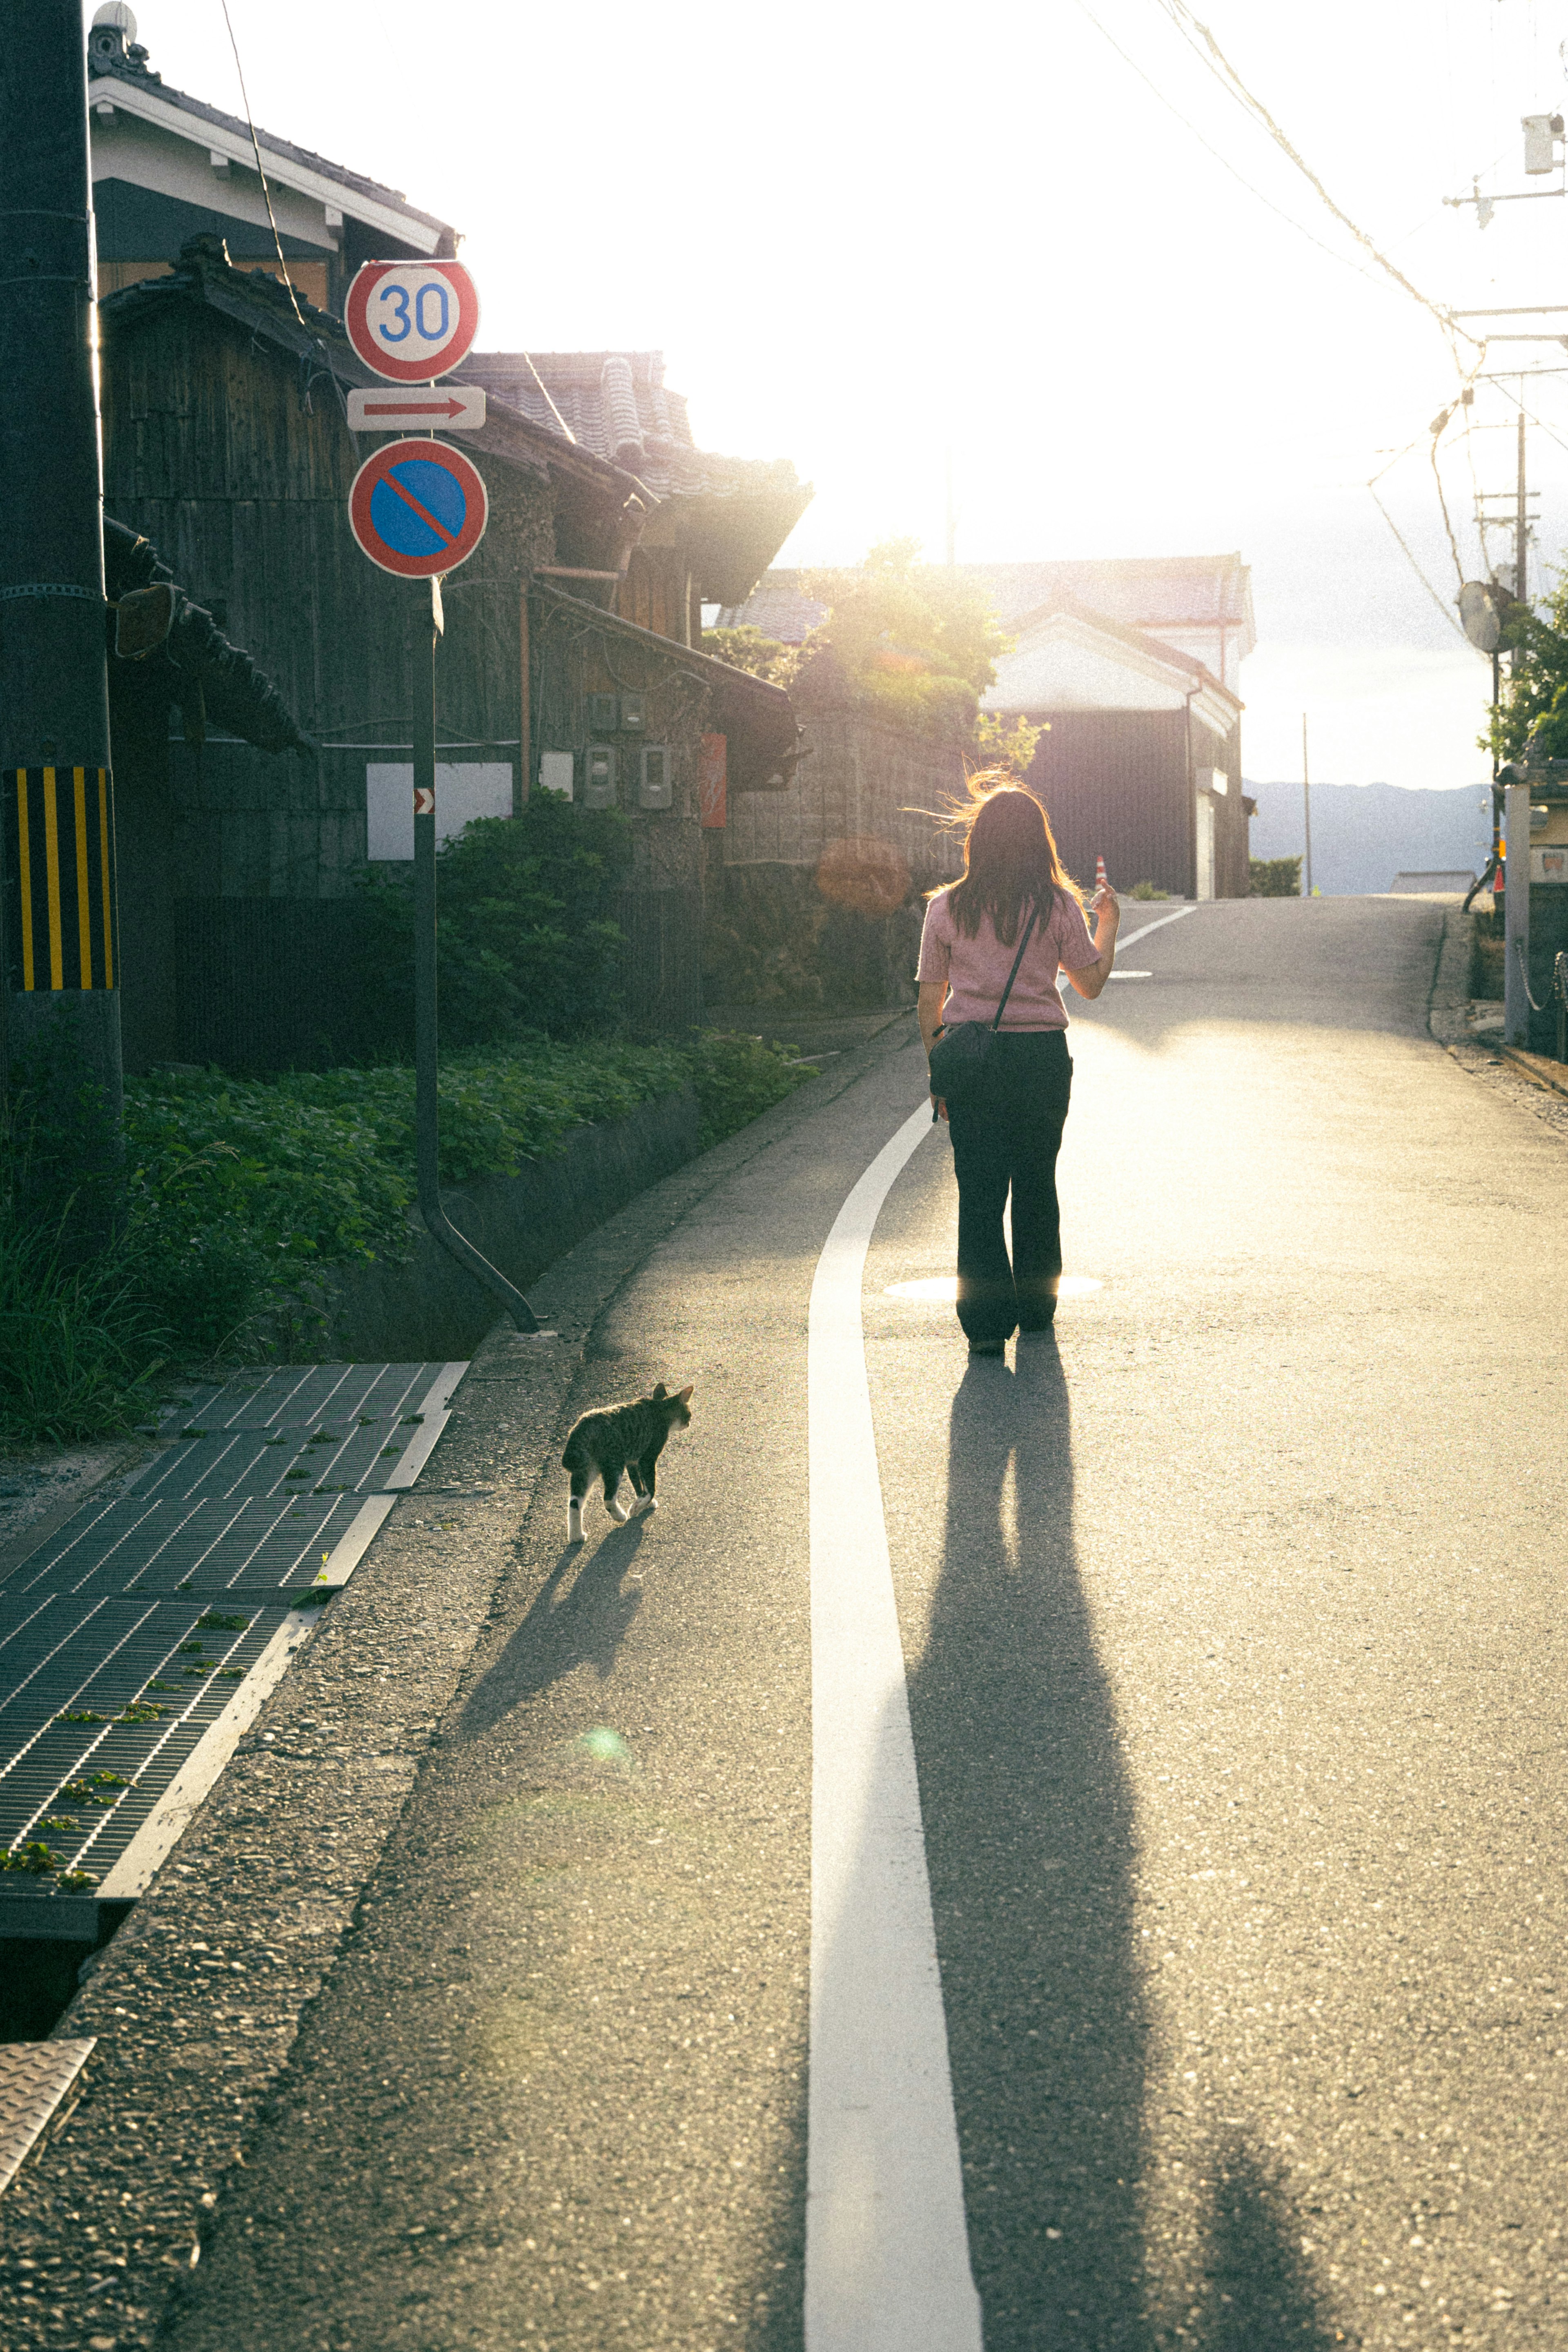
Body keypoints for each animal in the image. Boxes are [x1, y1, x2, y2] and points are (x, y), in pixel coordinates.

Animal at [557, 1373, 691, 1543]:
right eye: (689, 1414)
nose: (689, 1423)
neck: (658, 1408)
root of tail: (583, 1426)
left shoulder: (633, 1461)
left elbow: (638, 1485)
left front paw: (642, 1502)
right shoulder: (647, 1459)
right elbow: (651, 1488)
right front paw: (637, 1508)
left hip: (586, 1470)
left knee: (575, 1503)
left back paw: (577, 1536)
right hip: (614, 1464)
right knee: (608, 1499)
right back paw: (620, 1516)